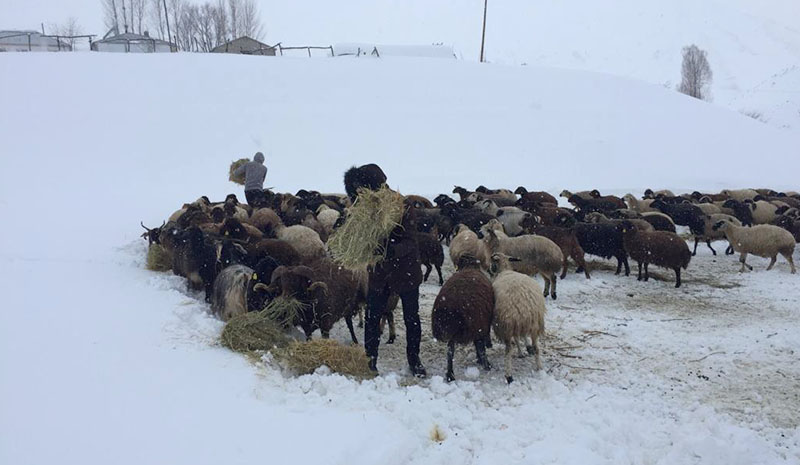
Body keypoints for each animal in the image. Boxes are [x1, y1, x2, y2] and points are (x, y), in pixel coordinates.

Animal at [490, 252, 548, 382]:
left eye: (492, 262)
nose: (489, 269)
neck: (505, 269)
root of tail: (525, 305)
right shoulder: (520, 325)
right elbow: (522, 337)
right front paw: (526, 349)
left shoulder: (511, 325)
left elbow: (516, 339)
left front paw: (521, 352)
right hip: (534, 324)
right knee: (536, 347)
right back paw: (539, 367)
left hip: (507, 324)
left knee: (508, 350)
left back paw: (509, 376)